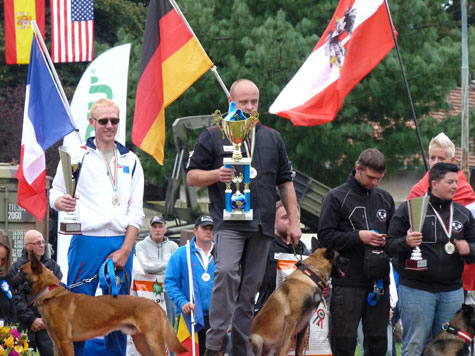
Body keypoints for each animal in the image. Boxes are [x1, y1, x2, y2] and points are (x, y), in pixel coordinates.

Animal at [16, 253, 188, 356]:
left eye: (21, 271)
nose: (10, 280)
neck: (50, 293)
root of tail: (155, 304)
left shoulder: (65, 342)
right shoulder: (56, 343)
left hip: (153, 341)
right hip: (142, 342)